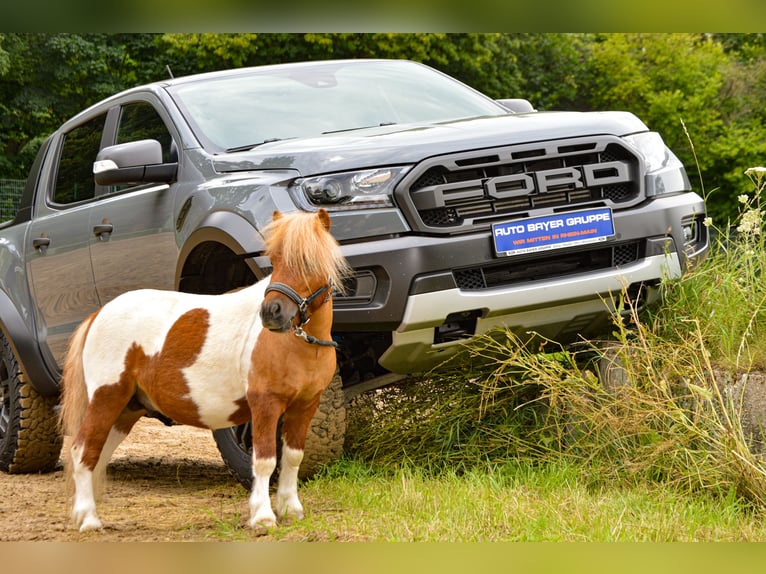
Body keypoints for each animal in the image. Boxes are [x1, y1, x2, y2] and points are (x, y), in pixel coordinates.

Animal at [61, 208, 350, 536]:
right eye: (274, 260)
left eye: (309, 262)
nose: (271, 313)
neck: (298, 344)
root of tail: (98, 314)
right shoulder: (265, 405)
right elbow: (265, 460)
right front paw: (263, 517)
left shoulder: (305, 405)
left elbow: (292, 457)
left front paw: (291, 510)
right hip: (105, 399)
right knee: (82, 452)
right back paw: (89, 520)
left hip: (127, 409)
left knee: (97, 454)